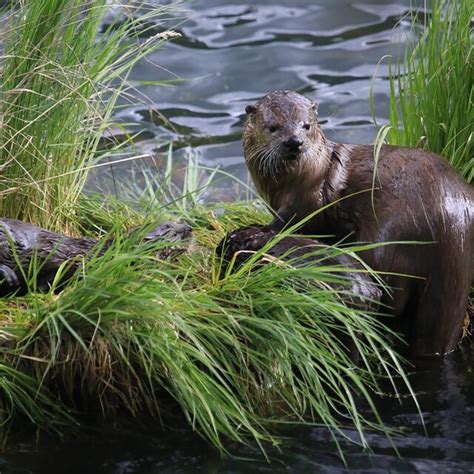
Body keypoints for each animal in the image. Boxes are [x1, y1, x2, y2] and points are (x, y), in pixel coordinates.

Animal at [244, 90, 474, 356]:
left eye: (306, 125)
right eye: (273, 127)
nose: (294, 141)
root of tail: (455, 227)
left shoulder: (306, 201)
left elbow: (289, 221)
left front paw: (258, 233)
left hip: (389, 232)